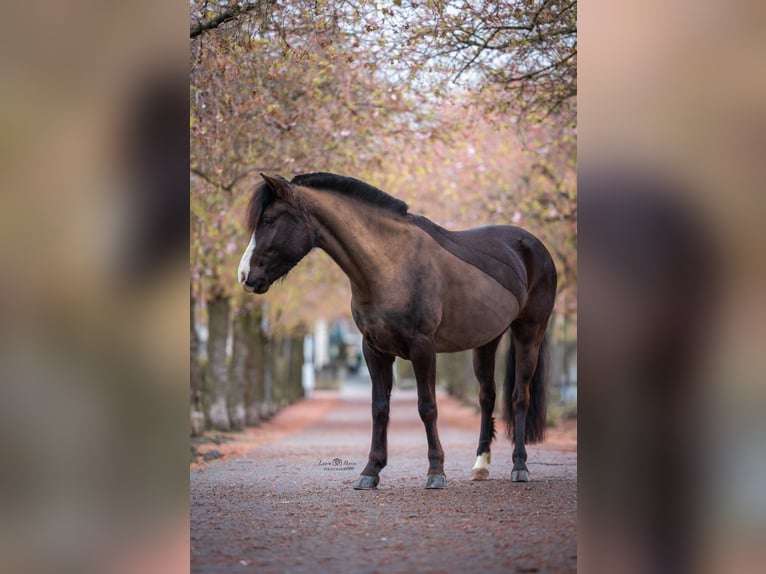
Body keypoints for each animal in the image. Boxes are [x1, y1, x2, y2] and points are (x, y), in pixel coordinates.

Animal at [238, 172, 557, 489]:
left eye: (269, 219)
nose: (244, 276)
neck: (391, 263)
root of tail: (533, 245)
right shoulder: (374, 349)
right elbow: (379, 407)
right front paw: (371, 470)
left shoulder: (422, 348)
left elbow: (427, 406)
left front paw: (436, 471)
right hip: (486, 340)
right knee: (487, 396)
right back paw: (480, 465)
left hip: (529, 332)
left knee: (519, 397)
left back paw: (519, 466)